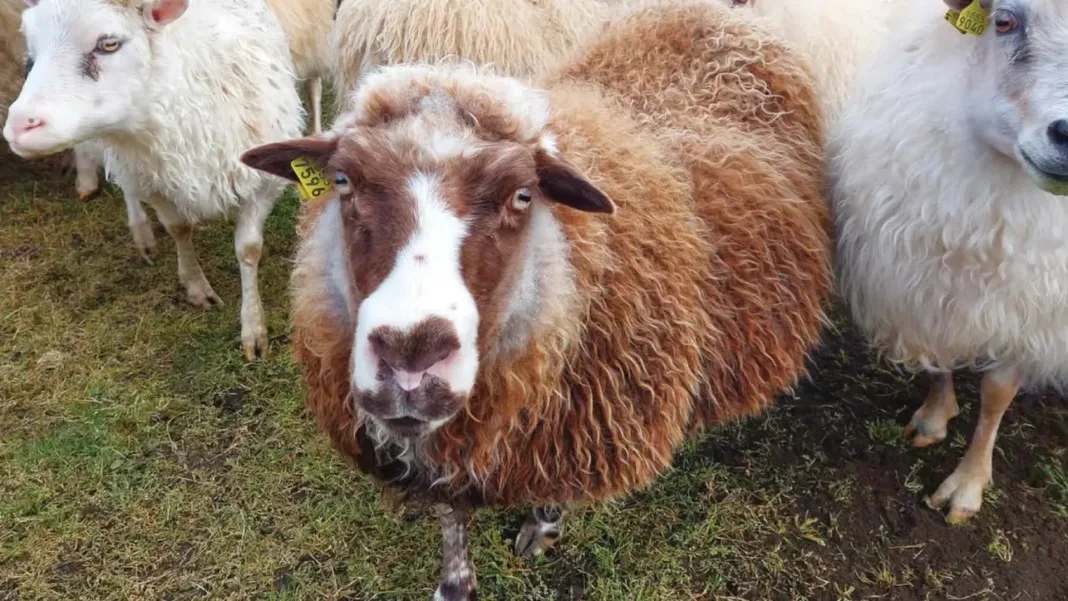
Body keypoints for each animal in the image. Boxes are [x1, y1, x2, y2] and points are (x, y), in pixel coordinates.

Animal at [3, 0, 305, 360]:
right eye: (31, 52)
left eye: (108, 44)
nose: (18, 127)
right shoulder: (154, 182)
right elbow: (178, 229)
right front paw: (196, 286)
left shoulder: (261, 183)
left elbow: (248, 249)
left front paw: (254, 328)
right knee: (129, 191)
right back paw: (142, 233)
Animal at [831, 0, 1068, 524]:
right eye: (1004, 20)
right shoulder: (917, 277)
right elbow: (935, 363)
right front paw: (934, 419)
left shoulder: (1029, 305)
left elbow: (997, 394)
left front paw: (968, 483)